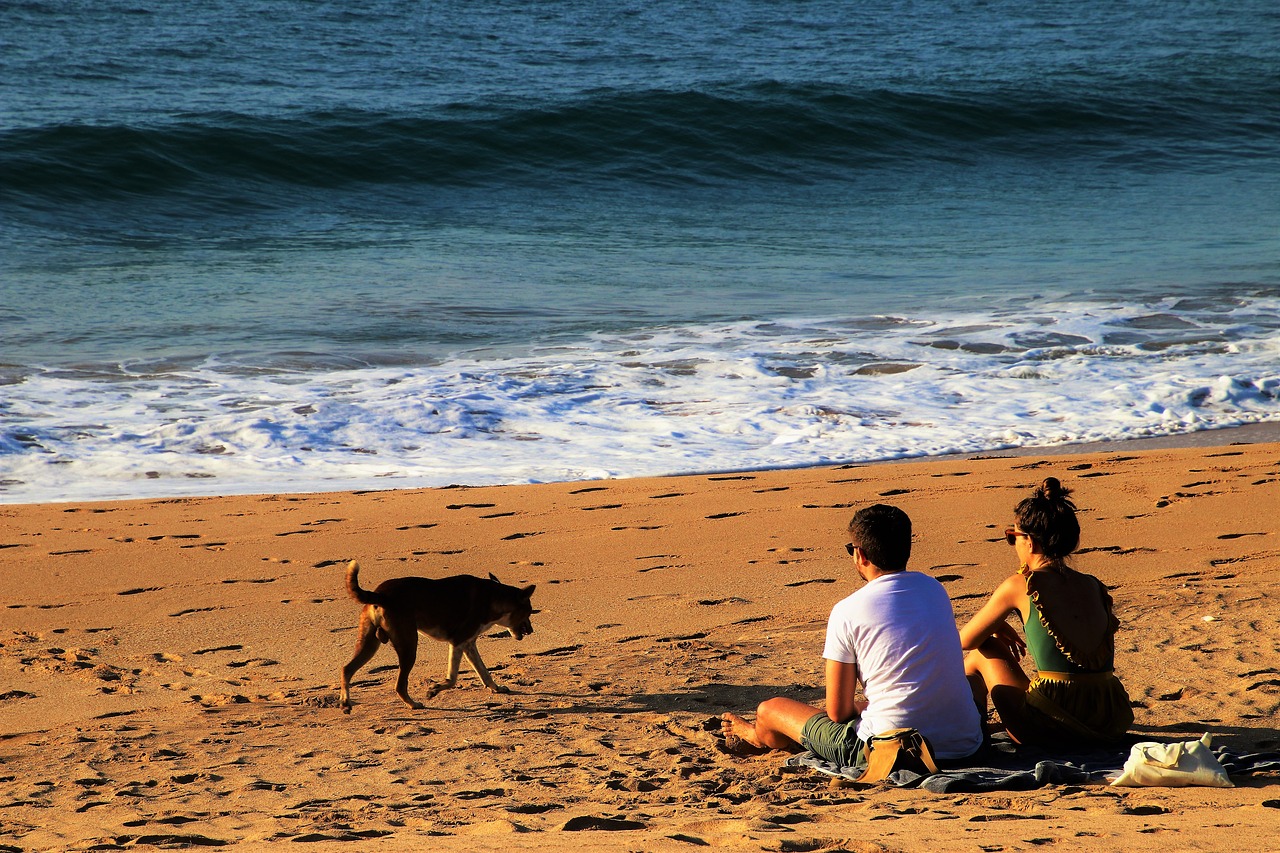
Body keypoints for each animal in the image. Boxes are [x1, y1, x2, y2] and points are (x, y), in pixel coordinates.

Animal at [337, 558, 532, 712]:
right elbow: (452, 679)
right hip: (409, 646)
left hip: (369, 644)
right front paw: (434, 690)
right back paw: (413, 704)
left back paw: (345, 703)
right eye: (530, 612)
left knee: (347, 669)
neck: (493, 597)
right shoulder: (457, 642)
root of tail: (380, 595)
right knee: (400, 685)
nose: (531, 631)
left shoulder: (468, 645)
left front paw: (496, 688)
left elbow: (484, 672)